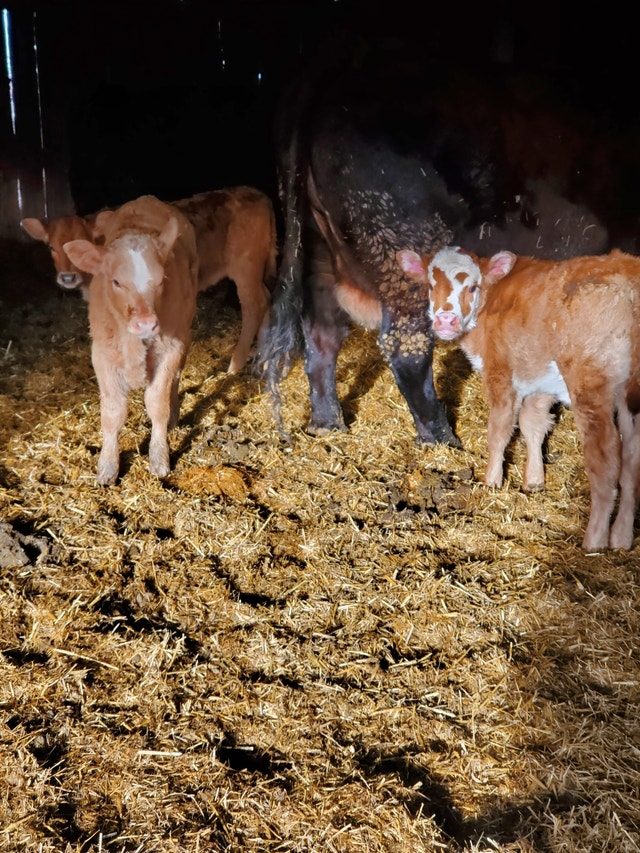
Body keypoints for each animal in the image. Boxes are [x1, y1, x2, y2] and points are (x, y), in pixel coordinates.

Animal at [63, 194, 199, 485]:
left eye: (161, 281)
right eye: (116, 282)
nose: (146, 323)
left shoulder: (171, 347)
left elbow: (157, 403)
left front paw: (159, 458)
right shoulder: (101, 355)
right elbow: (113, 413)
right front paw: (107, 467)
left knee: (176, 379)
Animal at [256, 38, 640, 448]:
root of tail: (338, 58)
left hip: (318, 248)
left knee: (322, 335)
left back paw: (328, 424)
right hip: (404, 253)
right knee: (405, 349)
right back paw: (441, 439)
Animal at [397, 245, 640, 552]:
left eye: (472, 287)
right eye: (431, 285)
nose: (445, 320)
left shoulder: (499, 372)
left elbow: (499, 429)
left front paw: (491, 481)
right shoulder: (540, 380)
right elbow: (531, 423)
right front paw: (533, 480)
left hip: (590, 386)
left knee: (605, 456)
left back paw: (594, 540)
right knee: (633, 458)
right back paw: (621, 536)